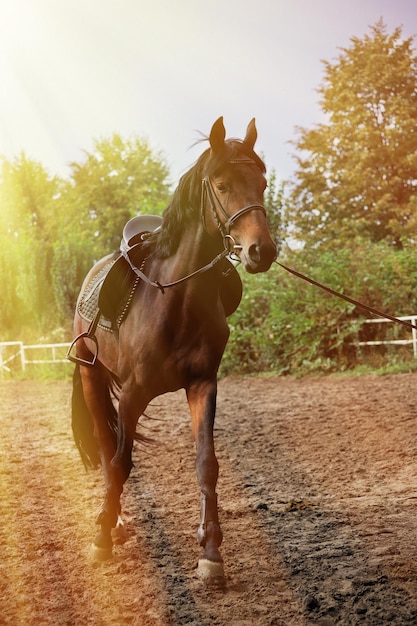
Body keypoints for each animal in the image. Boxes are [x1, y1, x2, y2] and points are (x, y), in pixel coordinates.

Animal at [69, 116, 276, 576]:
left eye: (263, 183)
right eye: (221, 185)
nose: (262, 251)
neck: (175, 300)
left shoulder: (202, 386)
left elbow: (206, 464)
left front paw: (211, 551)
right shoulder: (132, 393)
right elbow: (120, 463)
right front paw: (100, 537)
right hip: (93, 378)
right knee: (107, 449)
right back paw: (112, 522)